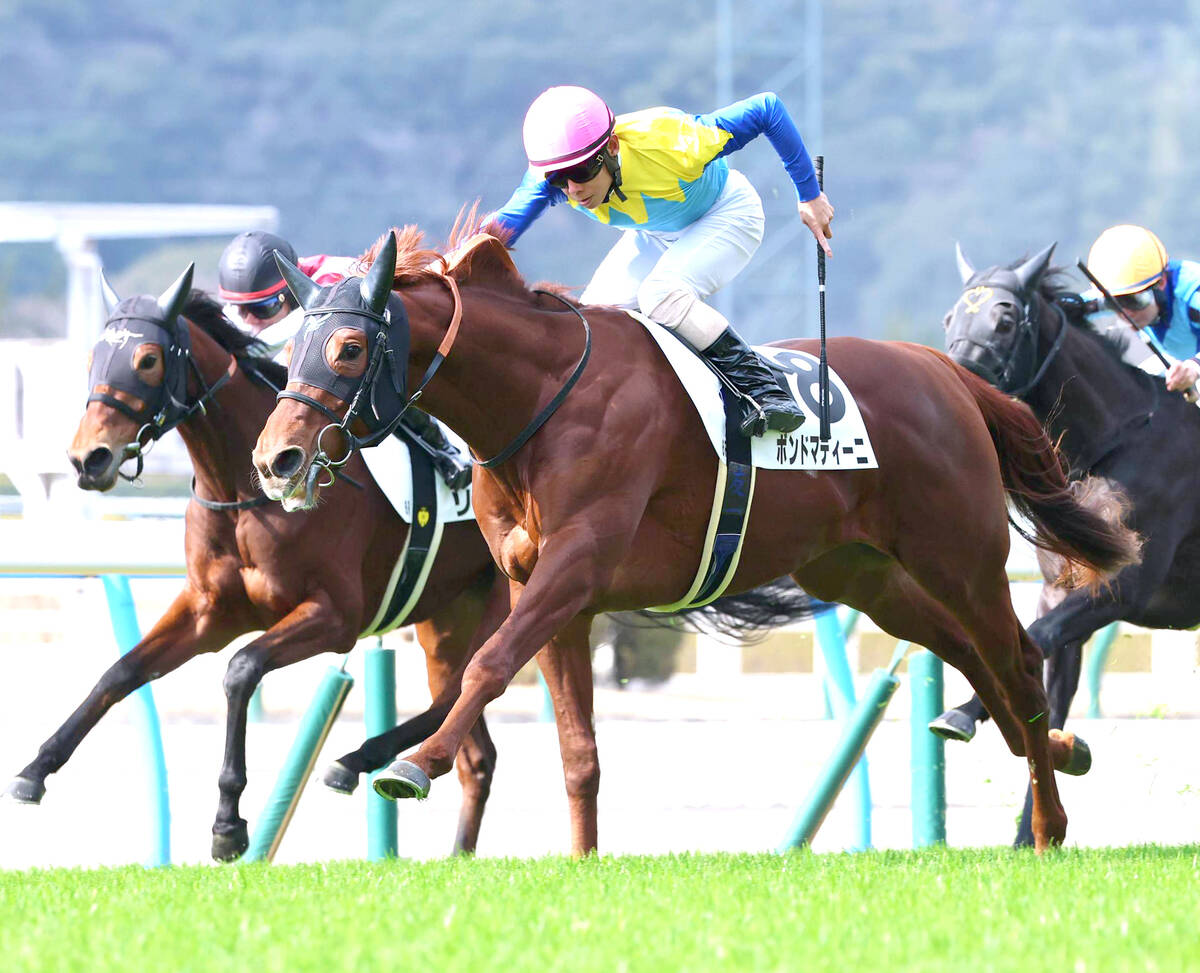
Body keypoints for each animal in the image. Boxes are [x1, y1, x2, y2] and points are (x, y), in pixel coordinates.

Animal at [2, 265, 591, 861]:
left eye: (147, 359)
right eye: (94, 357)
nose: (88, 457)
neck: (243, 492)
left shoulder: (335, 616)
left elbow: (241, 669)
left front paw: (228, 822)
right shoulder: (209, 611)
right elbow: (121, 671)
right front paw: (35, 769)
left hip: (512, 598)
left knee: (462, 688)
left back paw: (353, 762)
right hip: (446, 619)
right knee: (475, 751)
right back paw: (452, 847)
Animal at [251, 226, 1140, 853]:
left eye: (348, 347)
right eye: (289, 347)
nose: (275, 457)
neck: (539, 399)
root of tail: (944, 370)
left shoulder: (577, 566)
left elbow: (487, 664)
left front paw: (415, 762)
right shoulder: (553, 592)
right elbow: (577, 748)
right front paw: (581, 858)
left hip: (959, 554)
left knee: (1018, 659)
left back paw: (1049, 820)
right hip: (865, 574)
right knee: (968, 655)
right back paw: (1057, 750)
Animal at [937, 243, 1199, 846]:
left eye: (1005, 320)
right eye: (950, 318)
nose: (953, 380)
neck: (1111, 442)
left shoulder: (1122, 588)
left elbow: (1034, 643)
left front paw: (958, 713)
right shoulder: (1058, 590)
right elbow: (1045, 686)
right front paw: (1030, 835)